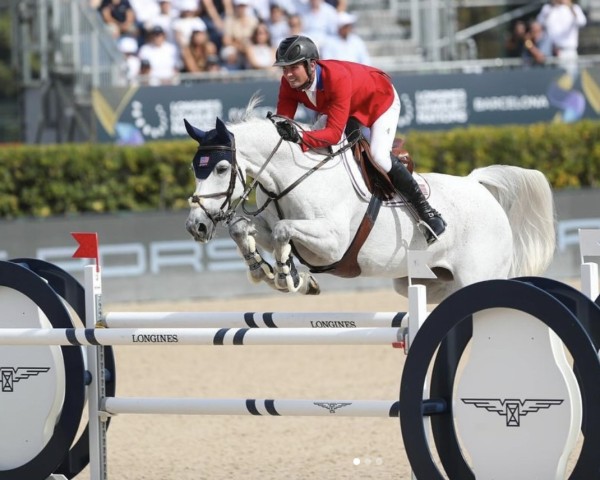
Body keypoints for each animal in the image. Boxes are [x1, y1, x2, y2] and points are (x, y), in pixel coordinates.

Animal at [184, 96, 556, 304]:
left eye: (220, 168)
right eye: (194, 168)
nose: (195, 226)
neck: (292, 177)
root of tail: (476, 183)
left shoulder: (332, 243)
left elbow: (283, 231)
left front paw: (288, 276)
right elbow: (243, 228)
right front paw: (266, 271)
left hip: (478, 274)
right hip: (427, 281)